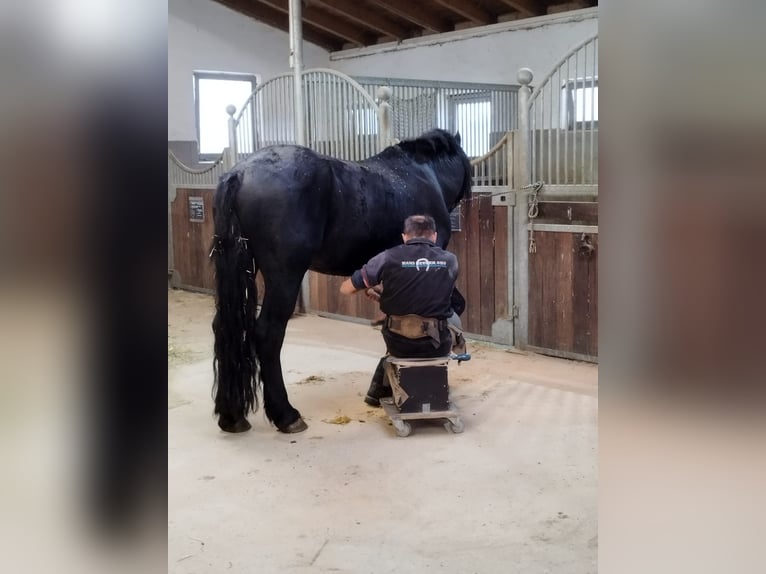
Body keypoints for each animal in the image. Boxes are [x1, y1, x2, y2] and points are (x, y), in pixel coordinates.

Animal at [210, 128, 472, 434]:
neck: (424, 174)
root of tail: (239, 173)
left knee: (225, 327)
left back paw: (231, 416)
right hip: (284, 276)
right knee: (267, 334)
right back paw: (287, 415)